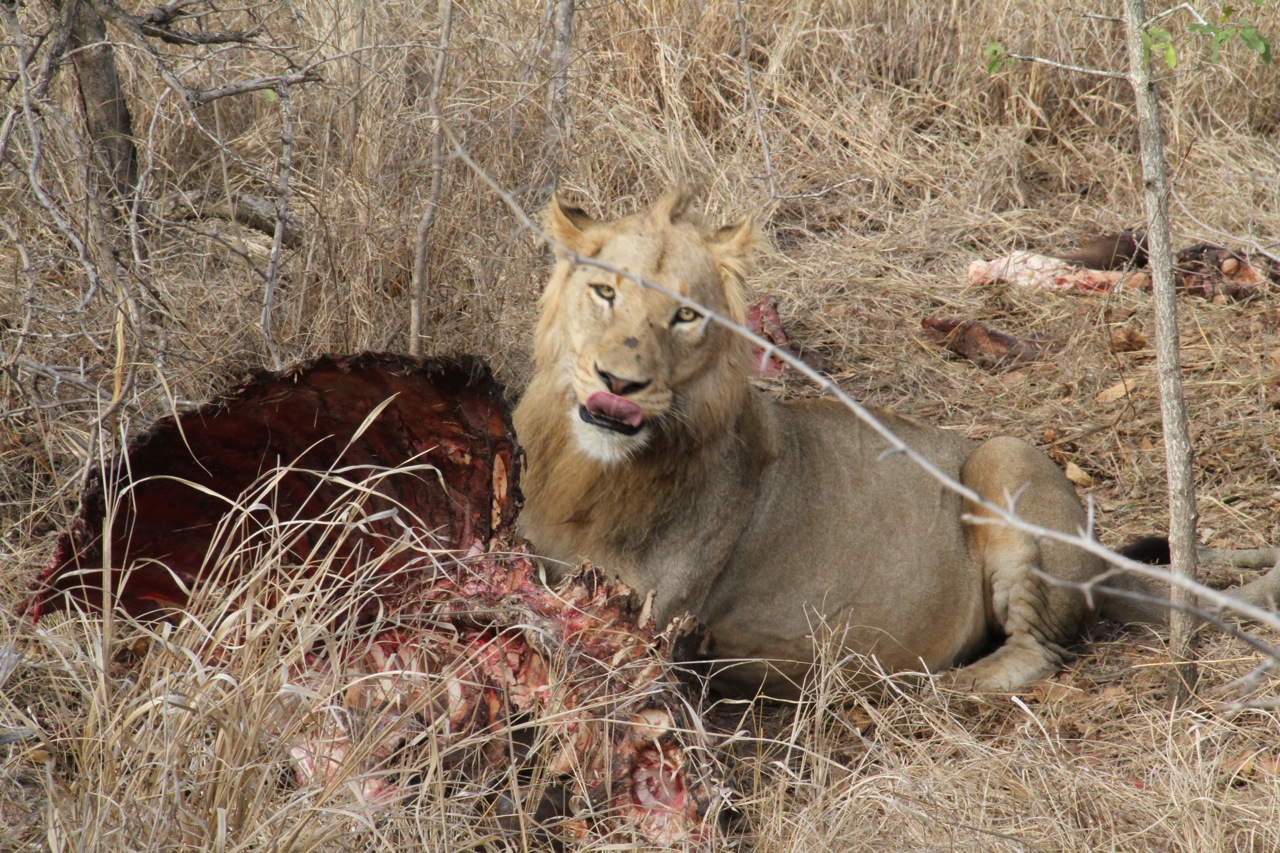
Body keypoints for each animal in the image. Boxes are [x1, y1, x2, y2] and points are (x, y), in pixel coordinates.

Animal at [509, 189, 1280, 696]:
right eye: (605, 293)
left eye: (685, 316)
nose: (619, 382)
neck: (592, 471)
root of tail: (1097, 561)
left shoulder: (651, 628)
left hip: (1005, 456)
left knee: (1037, 650)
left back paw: (935, 687)